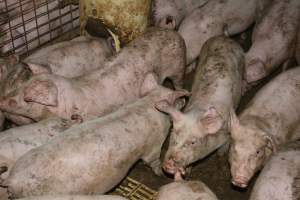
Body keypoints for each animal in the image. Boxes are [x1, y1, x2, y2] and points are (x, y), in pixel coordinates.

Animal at [0, 28, 185, 122]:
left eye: (26, 99)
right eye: (21, 86)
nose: (1, 101)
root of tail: (171, 31)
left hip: (178, 66)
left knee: (179, 82)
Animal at [2, 76, 188, 198]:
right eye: (175, 97)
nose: (185, 100)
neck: (150, 104)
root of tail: (12, 179)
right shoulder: (154, 145)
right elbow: (153, 161)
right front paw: (161, 175)